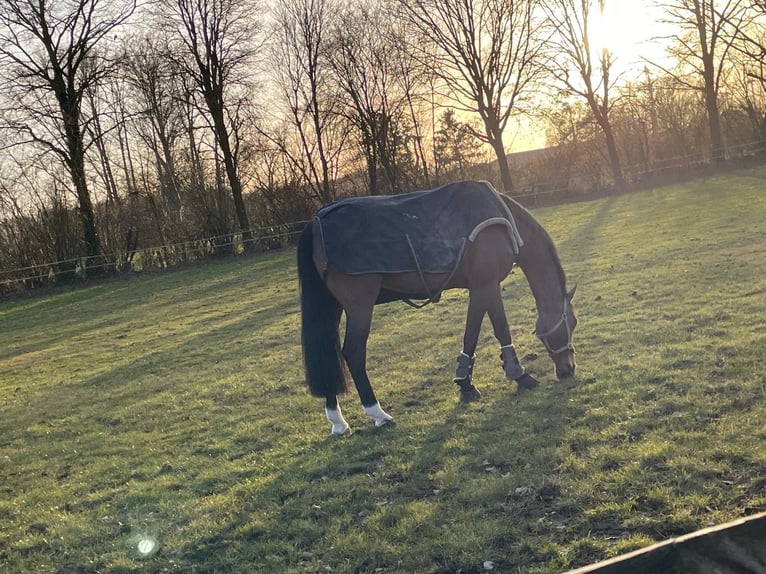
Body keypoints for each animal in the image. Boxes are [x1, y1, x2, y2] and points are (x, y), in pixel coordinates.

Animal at [297, 180, 577, 435]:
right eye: (572, 323)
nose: (568, 369)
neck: (505, 223)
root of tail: (316, 221)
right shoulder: (486, 285)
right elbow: (497, 329)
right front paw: (519, 376)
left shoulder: (479, 288)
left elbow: (473, 333)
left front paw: (466, 385)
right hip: (360, 307)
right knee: (353, 353)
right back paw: (378, 414)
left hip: (332, 308)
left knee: (327, 356)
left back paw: (337, 421)